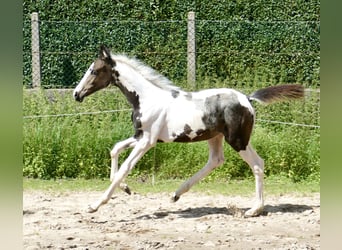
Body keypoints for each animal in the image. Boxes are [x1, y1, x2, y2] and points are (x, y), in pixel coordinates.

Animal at [73, 45, 304, 217]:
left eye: (94, 71)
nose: (76, 94)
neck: (146, 98)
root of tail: (247, 98)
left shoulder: (147, 141)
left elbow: (125, 167)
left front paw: (95, 205)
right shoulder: (140, 136)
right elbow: (115, 149)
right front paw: (127, 189)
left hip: (237, 139)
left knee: (256, 164)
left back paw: (254, 210)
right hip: (218, 137)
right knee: (216, 160)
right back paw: (176, 194)